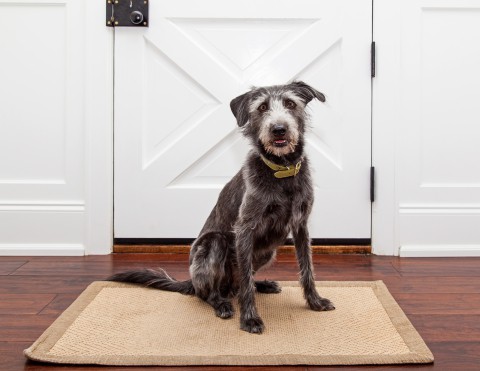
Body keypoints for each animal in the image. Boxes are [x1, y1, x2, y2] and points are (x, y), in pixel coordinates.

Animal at [108, 80, 334, 334]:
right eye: (262, 107)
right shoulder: (245, 229)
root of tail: (191, 282)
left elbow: (307, 269)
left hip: (268, 252)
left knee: (241, 281)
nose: (278, 129)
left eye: (290, 103)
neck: (281, 172)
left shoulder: (301, 226)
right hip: (213, 245)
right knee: (210, 292)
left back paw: (262, 285)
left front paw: (315, 301)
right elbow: (246, 281)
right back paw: (222, 304)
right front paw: (249, 318)